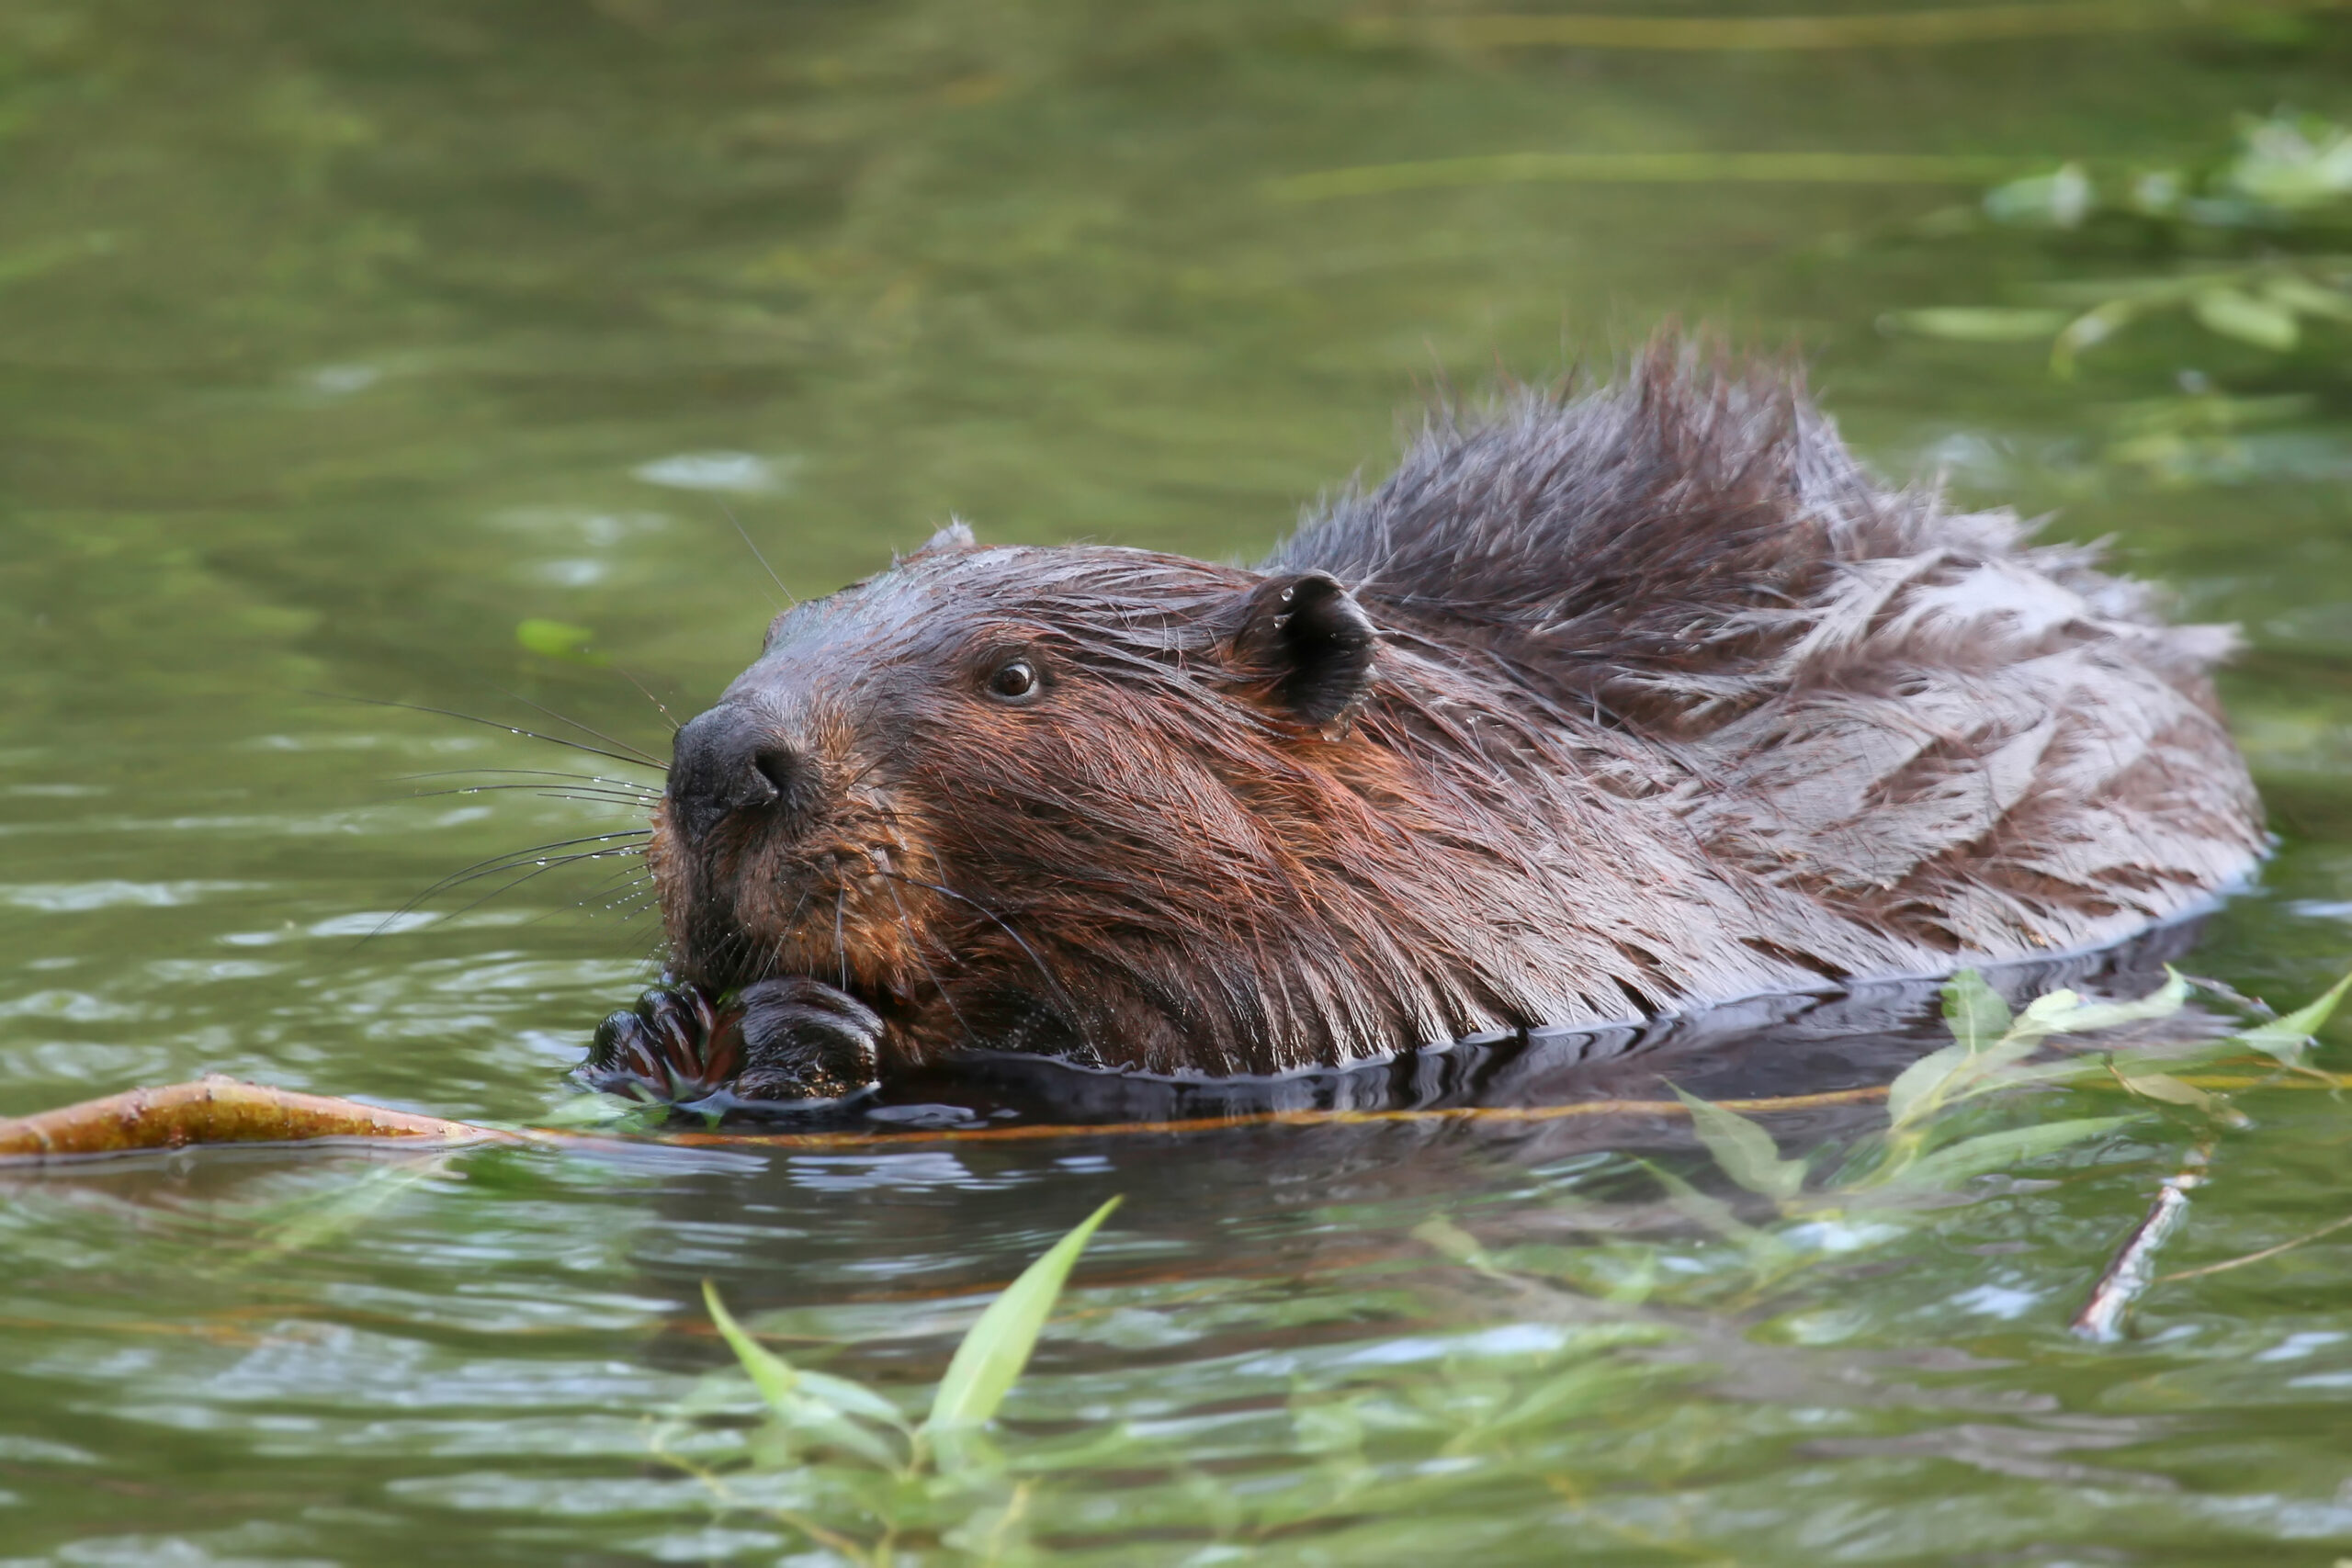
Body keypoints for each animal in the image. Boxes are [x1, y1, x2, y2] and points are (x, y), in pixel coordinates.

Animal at [578, 345, 2267, 1104]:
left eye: (1015, 680)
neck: (1497, 780)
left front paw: (815, 1027)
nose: (720, 759)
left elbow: (1240, 1032)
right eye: (788, 625)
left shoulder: (1469, 937)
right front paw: (650, 1026)